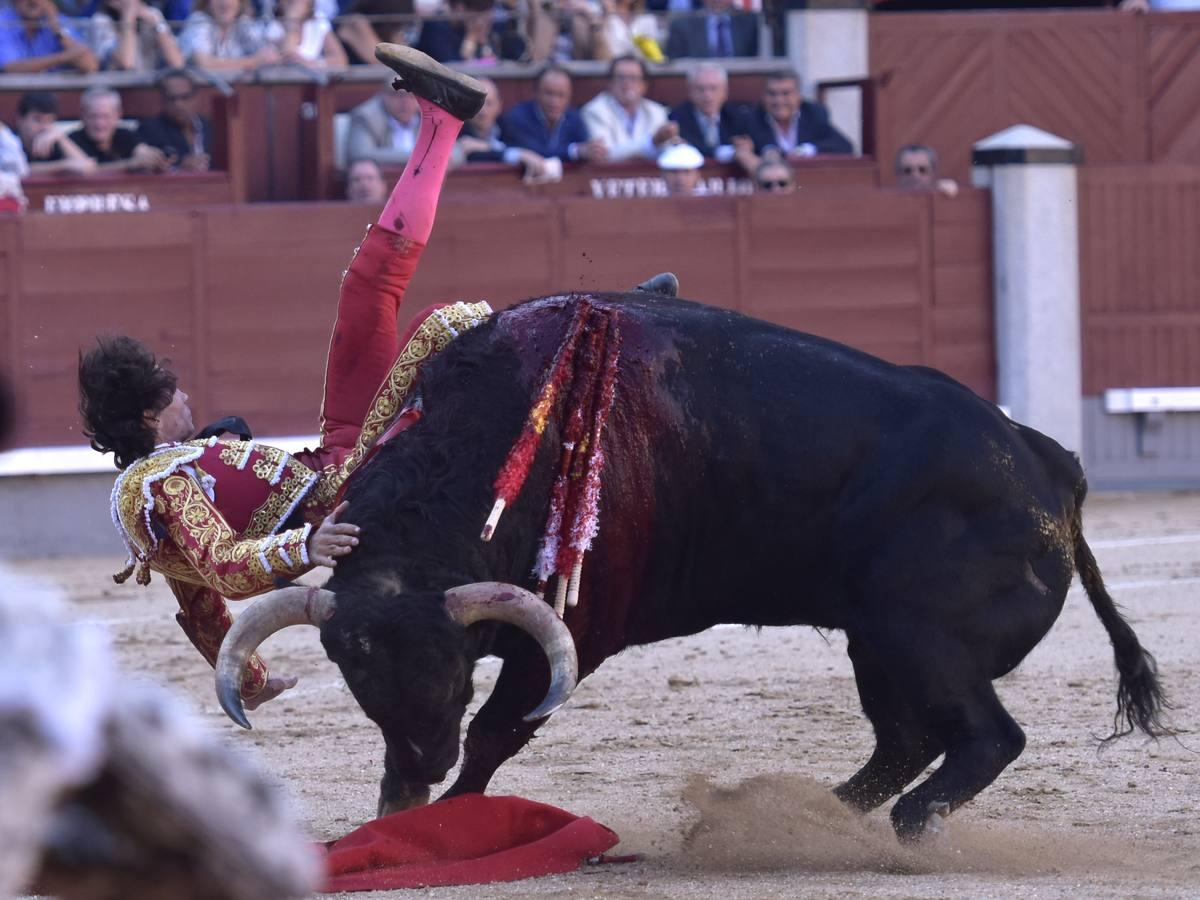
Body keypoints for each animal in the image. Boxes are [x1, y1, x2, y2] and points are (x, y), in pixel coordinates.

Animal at [220, 292, 1166, 844]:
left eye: (453, 669)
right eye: (354, 674)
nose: (419, 768)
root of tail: (1050, 466)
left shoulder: (571, 635)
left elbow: (496, 732)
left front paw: (453, 817)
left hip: (921, 637)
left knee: (984, 738)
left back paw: (897, 830)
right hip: (877, 641)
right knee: (907, 739)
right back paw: (807, 818)